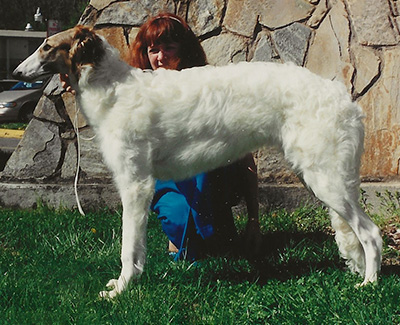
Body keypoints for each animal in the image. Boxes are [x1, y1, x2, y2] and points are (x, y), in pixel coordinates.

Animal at [13, 26, 382, 298]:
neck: (114, 89)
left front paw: (120, 290)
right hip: (321, 174)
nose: (16, 71)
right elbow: (138, 249)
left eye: (46, 46)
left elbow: (128, 247)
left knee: (371, 233)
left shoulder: (135, 184)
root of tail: (345, 100)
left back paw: (370, 283)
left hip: (328, 180)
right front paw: (129, 282)